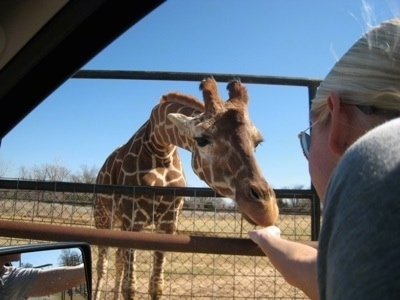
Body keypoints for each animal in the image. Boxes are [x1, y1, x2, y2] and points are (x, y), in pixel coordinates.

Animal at [93, 77, 278, 300]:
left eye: (257, 142)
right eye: (202, 139)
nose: (266, 210)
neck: (159, 149)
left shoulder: (167, 223)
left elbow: (156, 286)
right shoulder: (132, 221)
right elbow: (130, 288)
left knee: (118, 260)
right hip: (104, 219)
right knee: (102, 265)